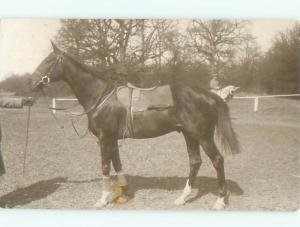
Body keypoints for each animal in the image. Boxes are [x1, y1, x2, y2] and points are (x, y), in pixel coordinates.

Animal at [31, 41, 241, 210]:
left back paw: (220, 201)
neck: (101, 97)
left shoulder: (105, 139)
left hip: (203, 136)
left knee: (217, 160)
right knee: (195, 162)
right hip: (189, 135)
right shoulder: (112, 140)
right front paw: (124, 193)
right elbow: (118, 165)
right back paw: (182, 198)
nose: (32, 83)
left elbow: (105, 168)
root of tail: (210, 95)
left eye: (48, 61)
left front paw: (102, 200)